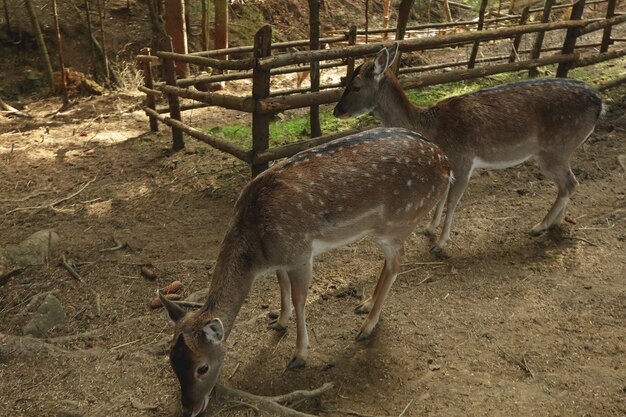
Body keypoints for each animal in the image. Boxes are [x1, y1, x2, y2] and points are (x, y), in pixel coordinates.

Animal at [156, 127, 448, 416]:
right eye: (171, 361)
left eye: (202, 367)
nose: (189, 409)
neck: (258, 254)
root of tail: (445, 162)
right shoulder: (283, 260)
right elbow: (281, 285)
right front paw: (279, 321)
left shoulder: (300, 253)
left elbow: (299, 300)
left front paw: (298, 355)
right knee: (388, 265)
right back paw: (365, 304)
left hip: (399, 222)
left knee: (396, 263)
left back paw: (366, 326)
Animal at [334, 44, 604, 254]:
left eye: (355, 86)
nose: (337, 110)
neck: (432, 129)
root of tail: (599, 102)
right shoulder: (450, 164)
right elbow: (443, 195)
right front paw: (429, 229)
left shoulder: (464, 159)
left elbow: (453, 200)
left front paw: (441, 243)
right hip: (560, 150)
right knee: (568, 184)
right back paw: (555, 223)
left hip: (555, 148)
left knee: (570, 183)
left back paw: (539, 226)